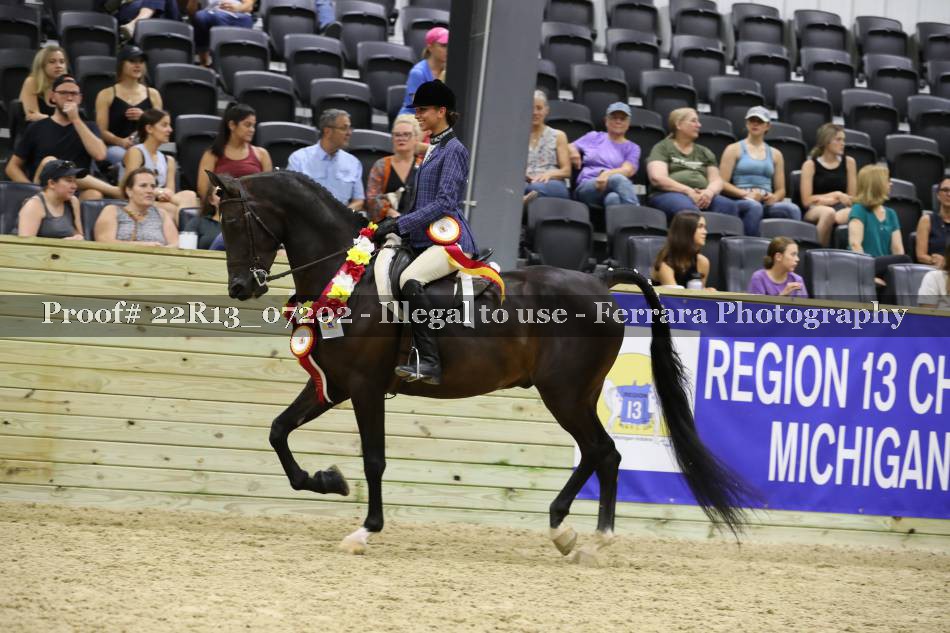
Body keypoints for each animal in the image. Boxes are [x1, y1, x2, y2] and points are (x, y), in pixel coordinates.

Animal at [207, 169, 750, 557]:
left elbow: (375, 459)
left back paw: (591, 537)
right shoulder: (334, 384)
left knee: (604, 452)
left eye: (234, 222)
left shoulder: (363, 386)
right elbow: (278, 431)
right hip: (573, 395)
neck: (348, 278)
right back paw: (570, 532)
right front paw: (328, 482)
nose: (240, 288)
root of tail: (598, 280)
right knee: (600, 454)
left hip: (566, 393)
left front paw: (365, 530)